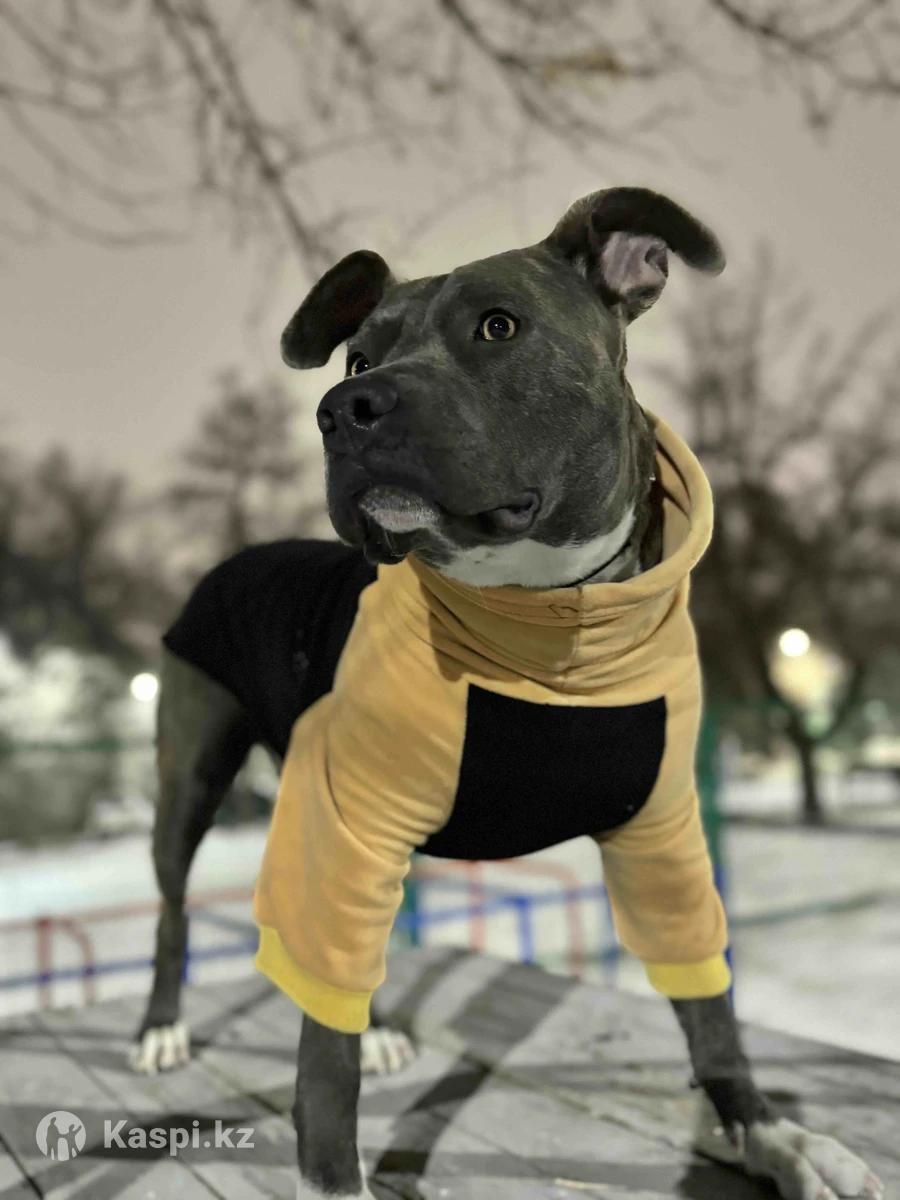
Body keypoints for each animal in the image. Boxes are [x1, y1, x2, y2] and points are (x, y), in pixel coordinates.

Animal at [133, 187, 884, 1200]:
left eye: (499, 326)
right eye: (358, 357)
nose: (344, 407)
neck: (547, 627)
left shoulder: (664, 837)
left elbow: (712, 1010)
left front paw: (774, 1134)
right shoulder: (350, 822)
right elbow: (321, 1061)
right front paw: (334, 1172)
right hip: (193, 771)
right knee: (180, 911)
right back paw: (162, 1027)